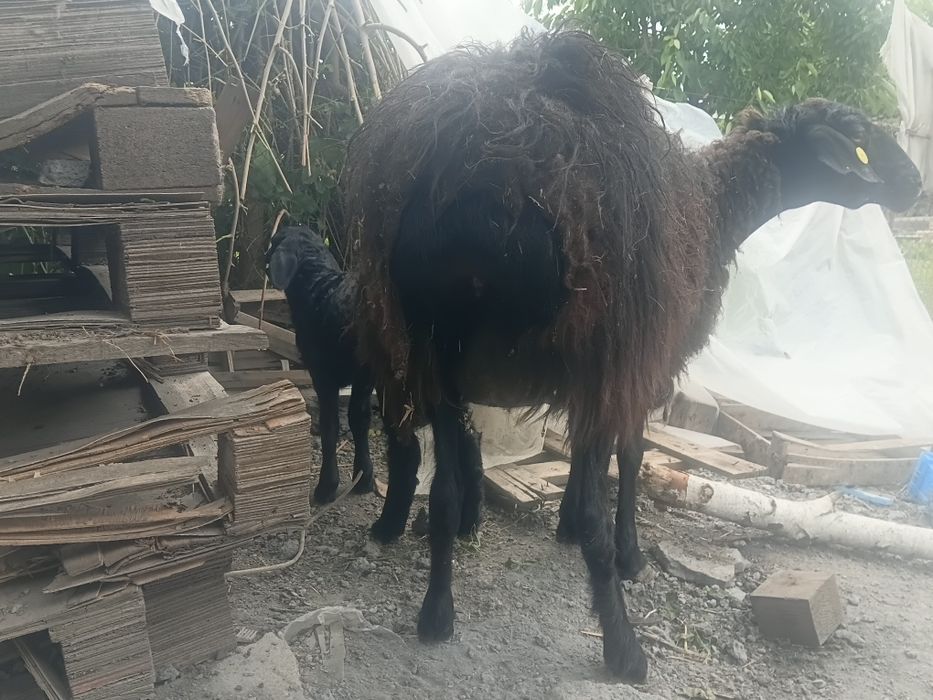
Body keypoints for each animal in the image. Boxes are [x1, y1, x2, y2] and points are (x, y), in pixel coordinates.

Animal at [343, 31, 922, 682]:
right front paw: (628, 553)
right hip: (590, 344)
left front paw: (566, 525)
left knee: (442, 491)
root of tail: (483, 170)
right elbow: (633, 454)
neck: (717, 208)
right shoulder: (647, 363)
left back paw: (437, 613)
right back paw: (623, 646)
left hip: (435, 347)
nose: (914, 184)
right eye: (862, 139)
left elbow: (582, 455)